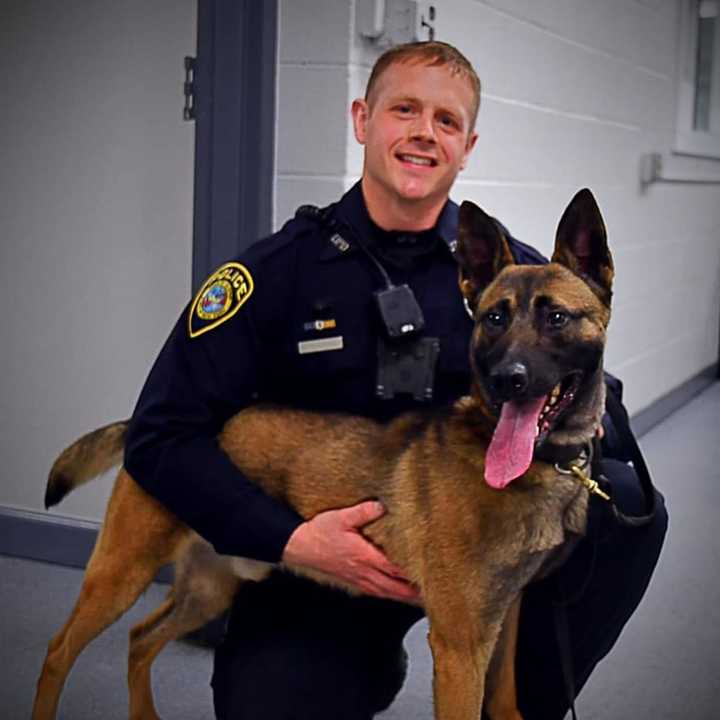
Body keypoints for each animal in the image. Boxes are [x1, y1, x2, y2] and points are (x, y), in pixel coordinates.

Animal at [32, 188, 612, 716]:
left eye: (556, 318)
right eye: (494, 319)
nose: (506, 379)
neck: (537, 464)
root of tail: (144, 427)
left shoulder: (505, 618)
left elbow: (508, 701)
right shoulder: (460, 646)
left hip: (208, 588)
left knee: (140, 639)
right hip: (121, 572)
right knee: (59, 650)